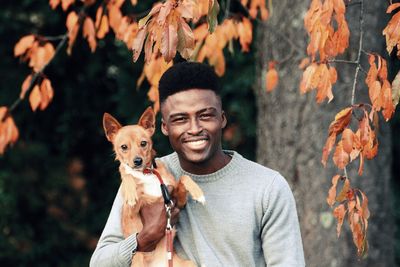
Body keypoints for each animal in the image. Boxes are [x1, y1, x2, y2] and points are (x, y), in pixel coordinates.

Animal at [103, 107, 205, 267]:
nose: (137, 161)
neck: (146, 173)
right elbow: (126, 173)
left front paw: (198, 193)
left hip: (189, 264)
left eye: (143, 143)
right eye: (124, 147)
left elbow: (184, 178)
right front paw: (131, 190)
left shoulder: (177, 201)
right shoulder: (131, 212)